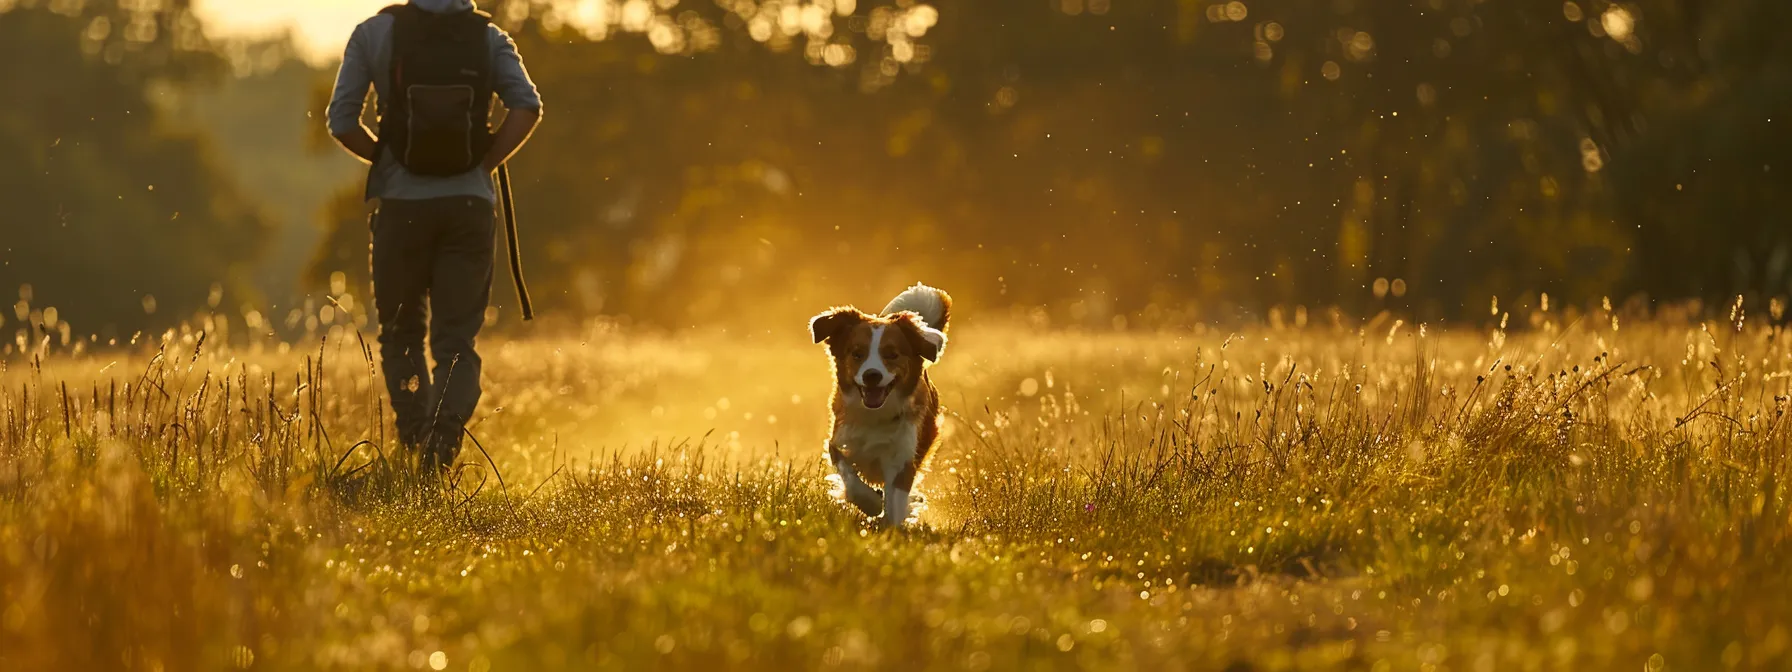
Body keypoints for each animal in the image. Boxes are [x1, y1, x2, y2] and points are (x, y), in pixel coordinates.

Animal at [809, 283, 953, 526]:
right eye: (857, 353)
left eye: (892, 354)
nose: (872, 375)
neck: (875, 416)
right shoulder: (839, 443)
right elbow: (852, 481)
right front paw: (871, 503)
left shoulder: (902, 458)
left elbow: (895, 502)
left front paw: (891, 524)